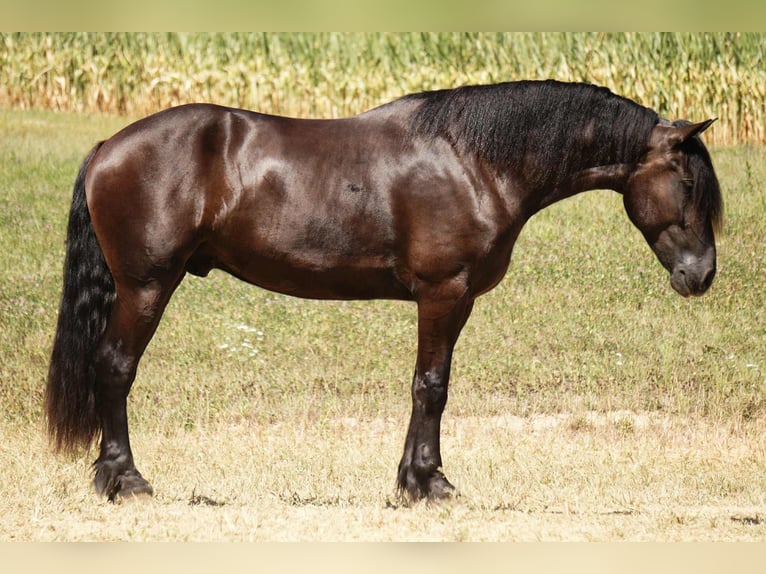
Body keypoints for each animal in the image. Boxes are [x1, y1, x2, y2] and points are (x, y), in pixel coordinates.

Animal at [46, 80, 723, 502]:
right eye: (689, 183)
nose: (701, 276)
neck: (475, 161)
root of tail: (109, 147)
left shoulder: (458, 300)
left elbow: (431, 388)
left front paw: (416, 478)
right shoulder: (444, 294)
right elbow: (431, 386)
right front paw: (428, 483)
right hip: (145, 286)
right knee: (115, 368)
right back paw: (125, 479)